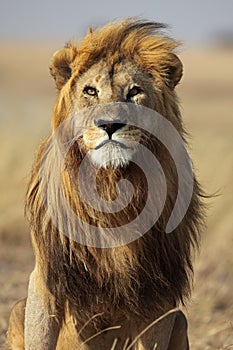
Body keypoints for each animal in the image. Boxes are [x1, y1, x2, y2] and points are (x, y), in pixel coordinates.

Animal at [5, 19, 204, 350]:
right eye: (90, 91)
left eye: (135, 91)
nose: (110, 124)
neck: (112, 185)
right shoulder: (47, 279)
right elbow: (40, 338)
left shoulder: (160, 293)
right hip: (18, 307)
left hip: (180, 320)